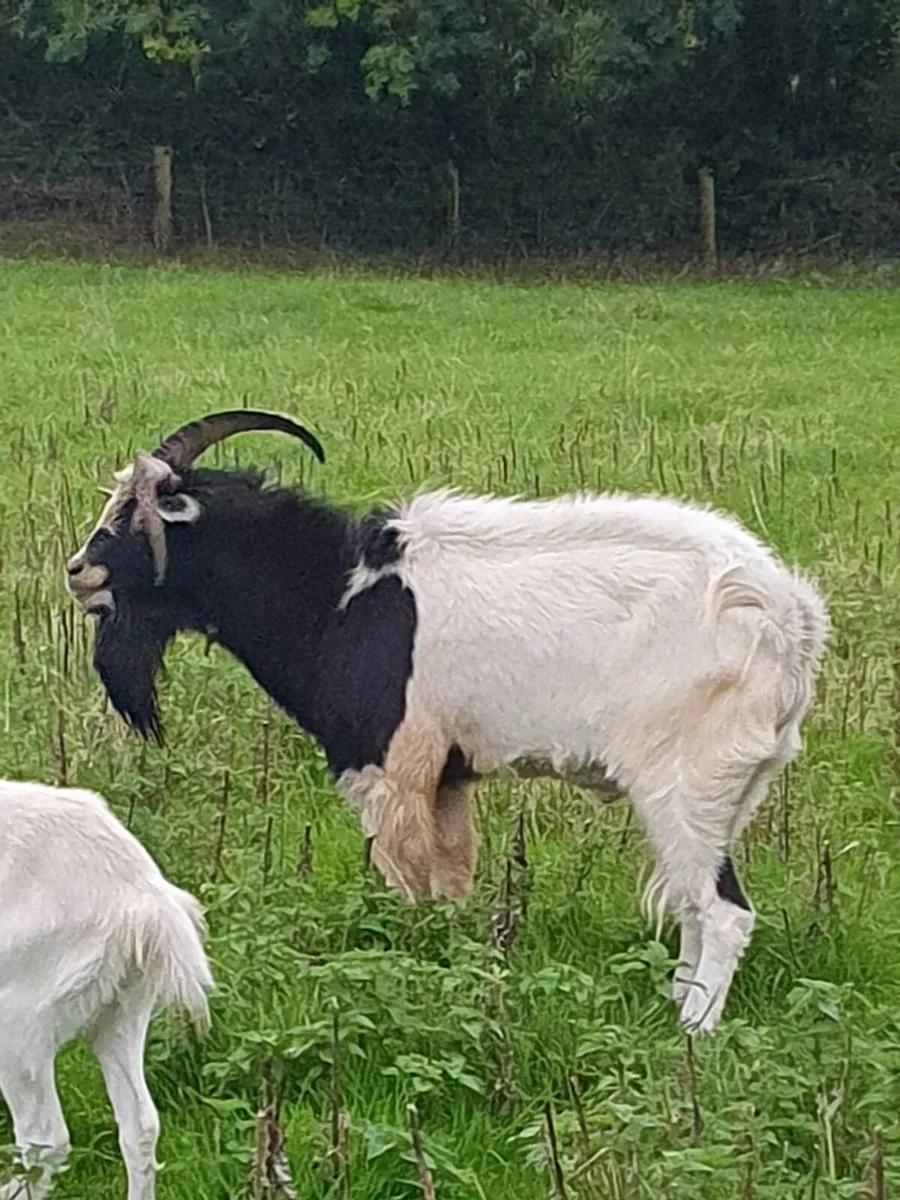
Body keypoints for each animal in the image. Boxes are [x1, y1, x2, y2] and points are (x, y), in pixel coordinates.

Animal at [65, 410, 829, 1033]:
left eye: (136, 514)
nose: (77, 570)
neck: (339, 596)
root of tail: (788, 616)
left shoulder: (391, 770)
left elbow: (408, 890)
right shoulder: (448, 780)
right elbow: (453, 885)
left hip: (685, 780)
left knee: (722, 911)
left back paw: (692, 1032)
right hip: (734, 787)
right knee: (697, 903)